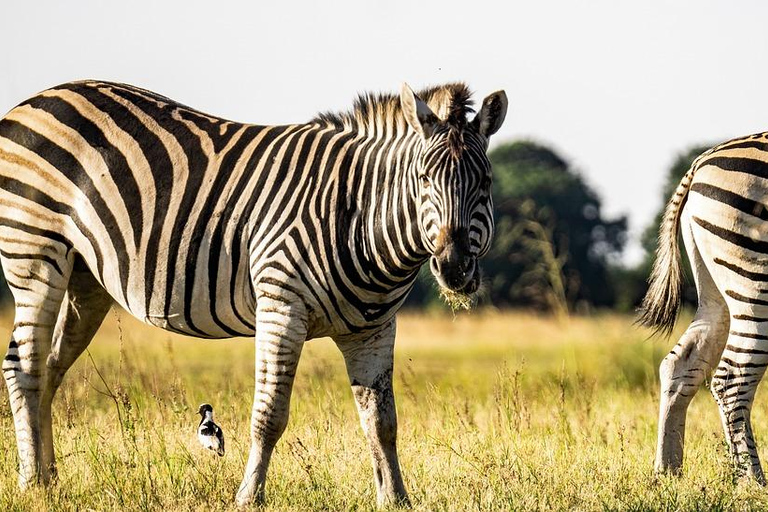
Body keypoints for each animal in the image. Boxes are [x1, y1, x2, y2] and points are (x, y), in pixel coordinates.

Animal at [0, 79, 508, 504]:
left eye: (485, 183)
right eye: (423, 179)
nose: (455, 268)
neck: (358, 215)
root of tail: (33, 100)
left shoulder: (373, 328)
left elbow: (382, 422)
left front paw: (395, 499)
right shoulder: (280, 306)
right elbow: (269, 416)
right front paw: (249, 497)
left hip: (86, 279)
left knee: (49, 367)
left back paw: (50, 479)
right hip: (34, 255)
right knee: (22, 368)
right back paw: (30, 484)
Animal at [640, 132, 768, 484]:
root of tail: (701, 161)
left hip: (717, 294)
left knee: (679, 364)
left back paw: (668, 472)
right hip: (756, 281)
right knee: (733, 380)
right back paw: (752, 484)